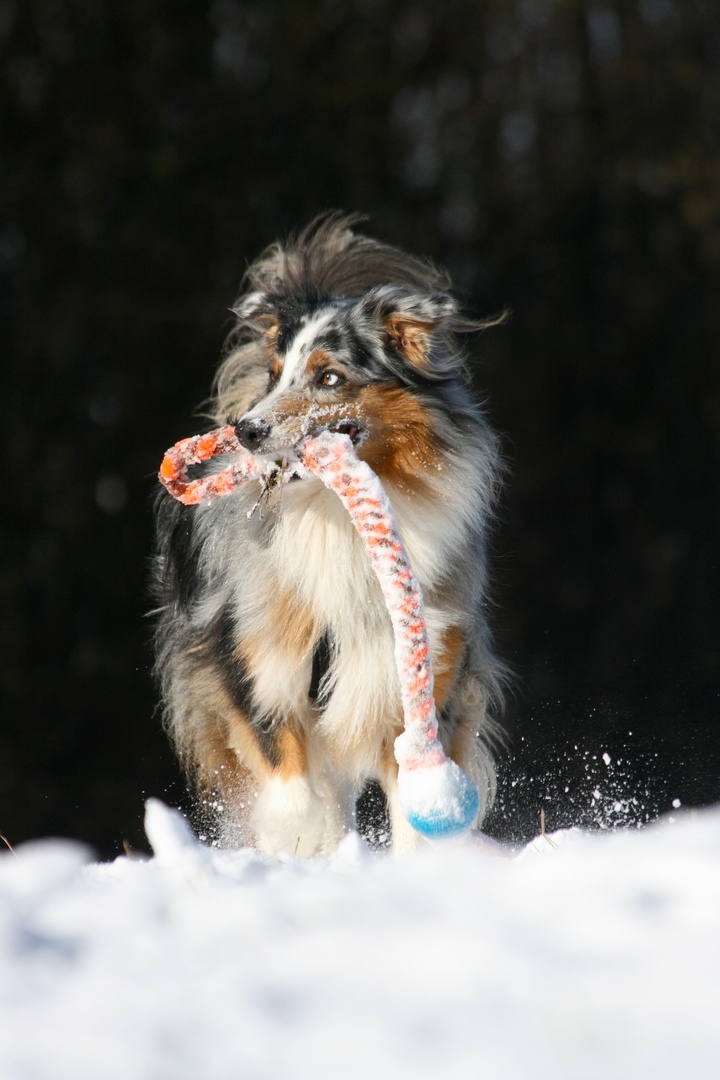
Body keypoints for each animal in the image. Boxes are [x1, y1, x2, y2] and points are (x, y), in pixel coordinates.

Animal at [156, 214, 507, 855]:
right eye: (275, 377)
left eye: (329, 377)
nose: (246, 431)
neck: (334, 515)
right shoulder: (253, 659)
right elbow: (289, 774)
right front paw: (303, 844)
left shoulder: (419, 671)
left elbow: (412, 790)